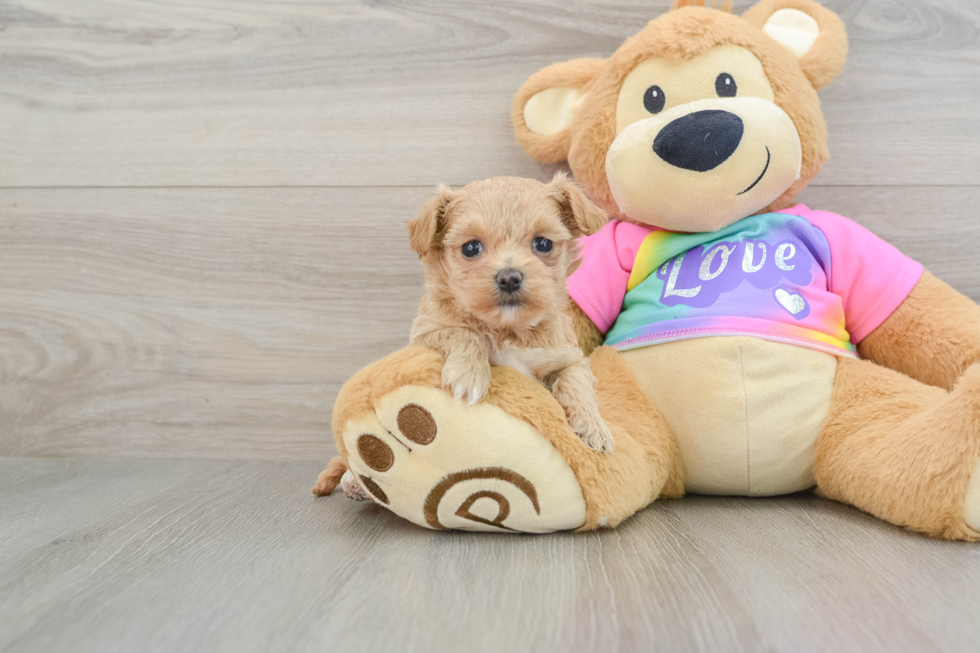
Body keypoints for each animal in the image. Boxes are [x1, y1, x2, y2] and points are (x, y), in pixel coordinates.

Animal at [406, 176, 612, 450]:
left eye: (543, 243)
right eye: (470, 247)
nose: (509, 278)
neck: (508, 328)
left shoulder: (568, 355)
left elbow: (577, 380)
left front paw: (593, 427)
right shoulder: (425, 331)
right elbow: (463, 333)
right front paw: (469, 375)